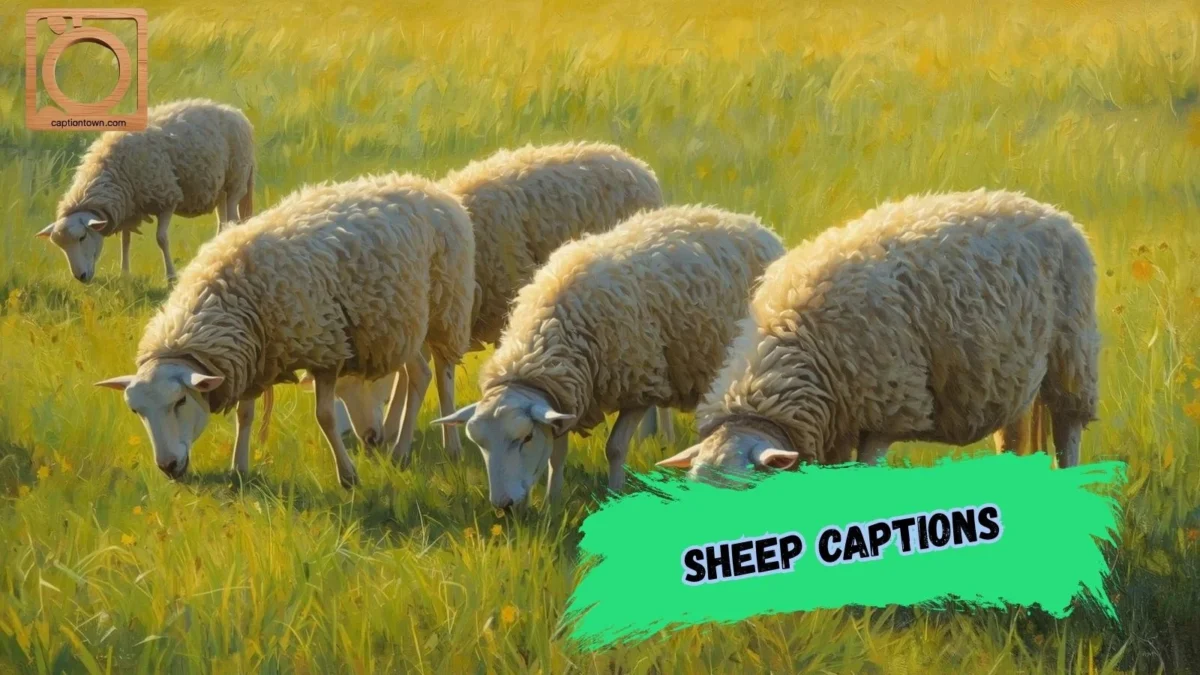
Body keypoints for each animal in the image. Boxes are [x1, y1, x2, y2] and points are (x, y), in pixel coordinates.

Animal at [36, 98, 255, 285]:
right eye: (61, 246)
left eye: (82, 237)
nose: (80, 277)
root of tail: (236, 112)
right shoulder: (128, 207)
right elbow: (125, 241)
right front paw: (124, 274)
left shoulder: (167, 197)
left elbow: (161, 239)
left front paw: (171, 277)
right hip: (220, 190)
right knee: (223, 222)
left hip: (236, 180)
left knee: (233, 220)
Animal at [93, 172, 475, 488]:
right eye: (136, 411)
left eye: (180, 400)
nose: (169, 467)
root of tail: (427, 187)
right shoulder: (252, 357)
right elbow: (245, 415)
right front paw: (239, 468)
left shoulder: (326, 349)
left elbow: (324, 417)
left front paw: (348, 476)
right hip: (396, 324)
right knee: (414, 374)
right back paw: (401, 442)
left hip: (443, 309)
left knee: (435, 375)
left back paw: (429, 448)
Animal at [327, 142, 670, 456]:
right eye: (339, 391)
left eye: (362, 380)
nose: (367, 441)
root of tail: (637, 165)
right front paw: (392, 429)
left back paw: (659, 435)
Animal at [432, 205, 786, 508]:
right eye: (480, 444)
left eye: (526, 437)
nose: (503, 506)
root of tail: (749, 222)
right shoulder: (567, 395)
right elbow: (556, 454)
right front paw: (552, 502)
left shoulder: (640, 385)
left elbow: (614, 448)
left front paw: (614, 494)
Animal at [655, 189, 1100, 480]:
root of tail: (1047, 209)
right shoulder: (836, 423)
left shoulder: (889, 407)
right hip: (1019, 373)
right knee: (1014, 437)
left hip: (1072, 359)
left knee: (1068, 436)